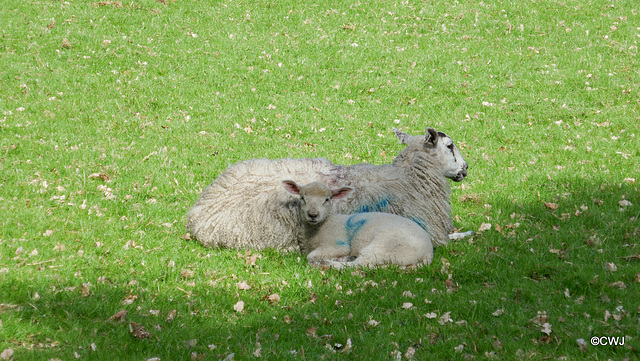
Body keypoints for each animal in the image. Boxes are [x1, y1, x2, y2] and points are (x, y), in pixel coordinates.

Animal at [186, 126, 470, 250]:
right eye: (450, 146)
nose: (466, 168)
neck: (409, 176)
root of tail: (198, 213)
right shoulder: (430, 232)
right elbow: (459, 236)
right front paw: (468, 233)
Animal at [282, 180, 436, 268]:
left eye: (327, 199)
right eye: (302, 198)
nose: (313, 215)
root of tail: (428, 251)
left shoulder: (337, 245)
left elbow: (310, 256)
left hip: (386, 244)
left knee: (361, 264)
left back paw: (330, 263)